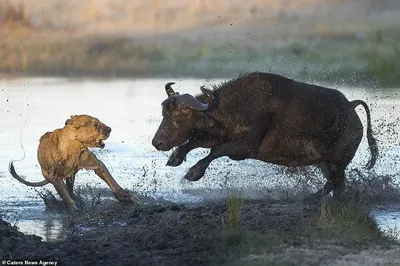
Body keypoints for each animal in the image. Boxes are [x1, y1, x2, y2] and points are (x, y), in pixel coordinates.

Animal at [151, 71, 378, 201]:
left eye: (179, 115)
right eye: (164, 112)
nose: (157, 142)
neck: (239, 106)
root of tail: (351, 107)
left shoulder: (244, 148)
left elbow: (215, 151)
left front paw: (193, 172)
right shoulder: (218, 135)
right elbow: (195, 141)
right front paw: (175, 157)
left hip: (337, 161)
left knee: (336, 183)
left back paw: (310, 200)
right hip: (325, 163)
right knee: (336, 184)